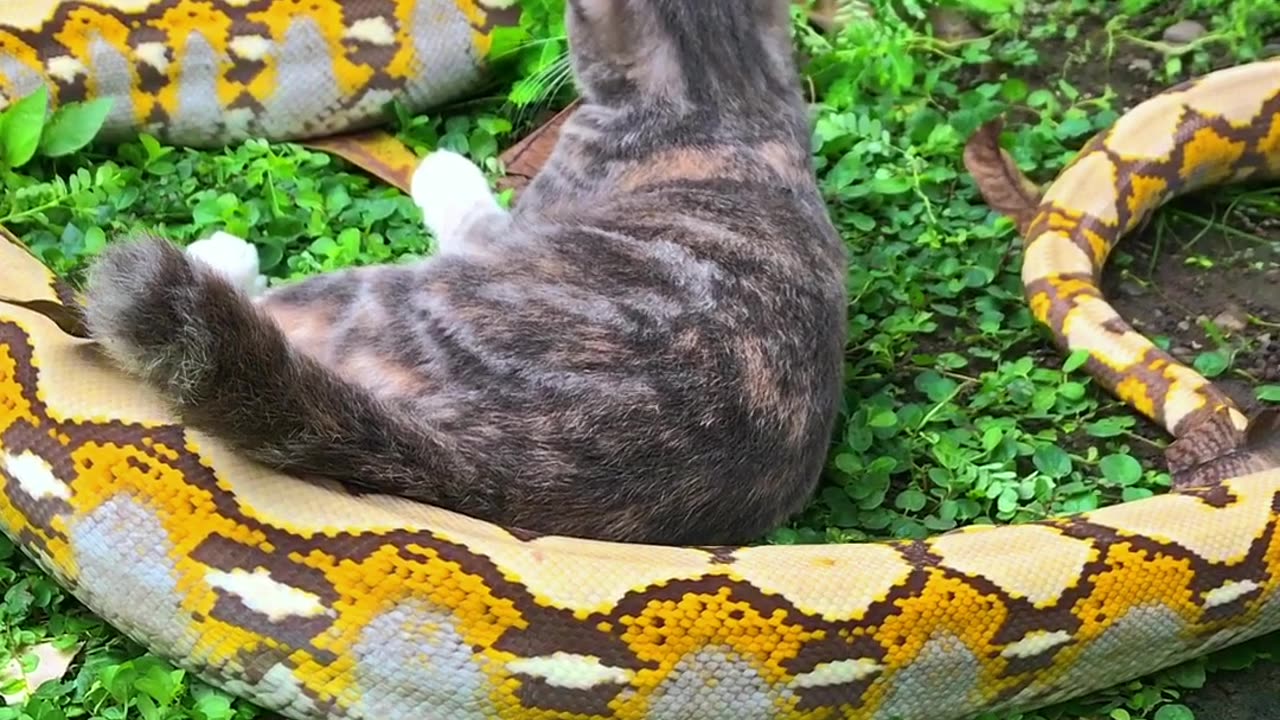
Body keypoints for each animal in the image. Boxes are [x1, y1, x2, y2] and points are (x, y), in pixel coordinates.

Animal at [80, 0, 849, 540]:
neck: (723, 99)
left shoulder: (522, 219)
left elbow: (469, 212)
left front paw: (441, 168)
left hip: (374, 296)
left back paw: (219, 259)